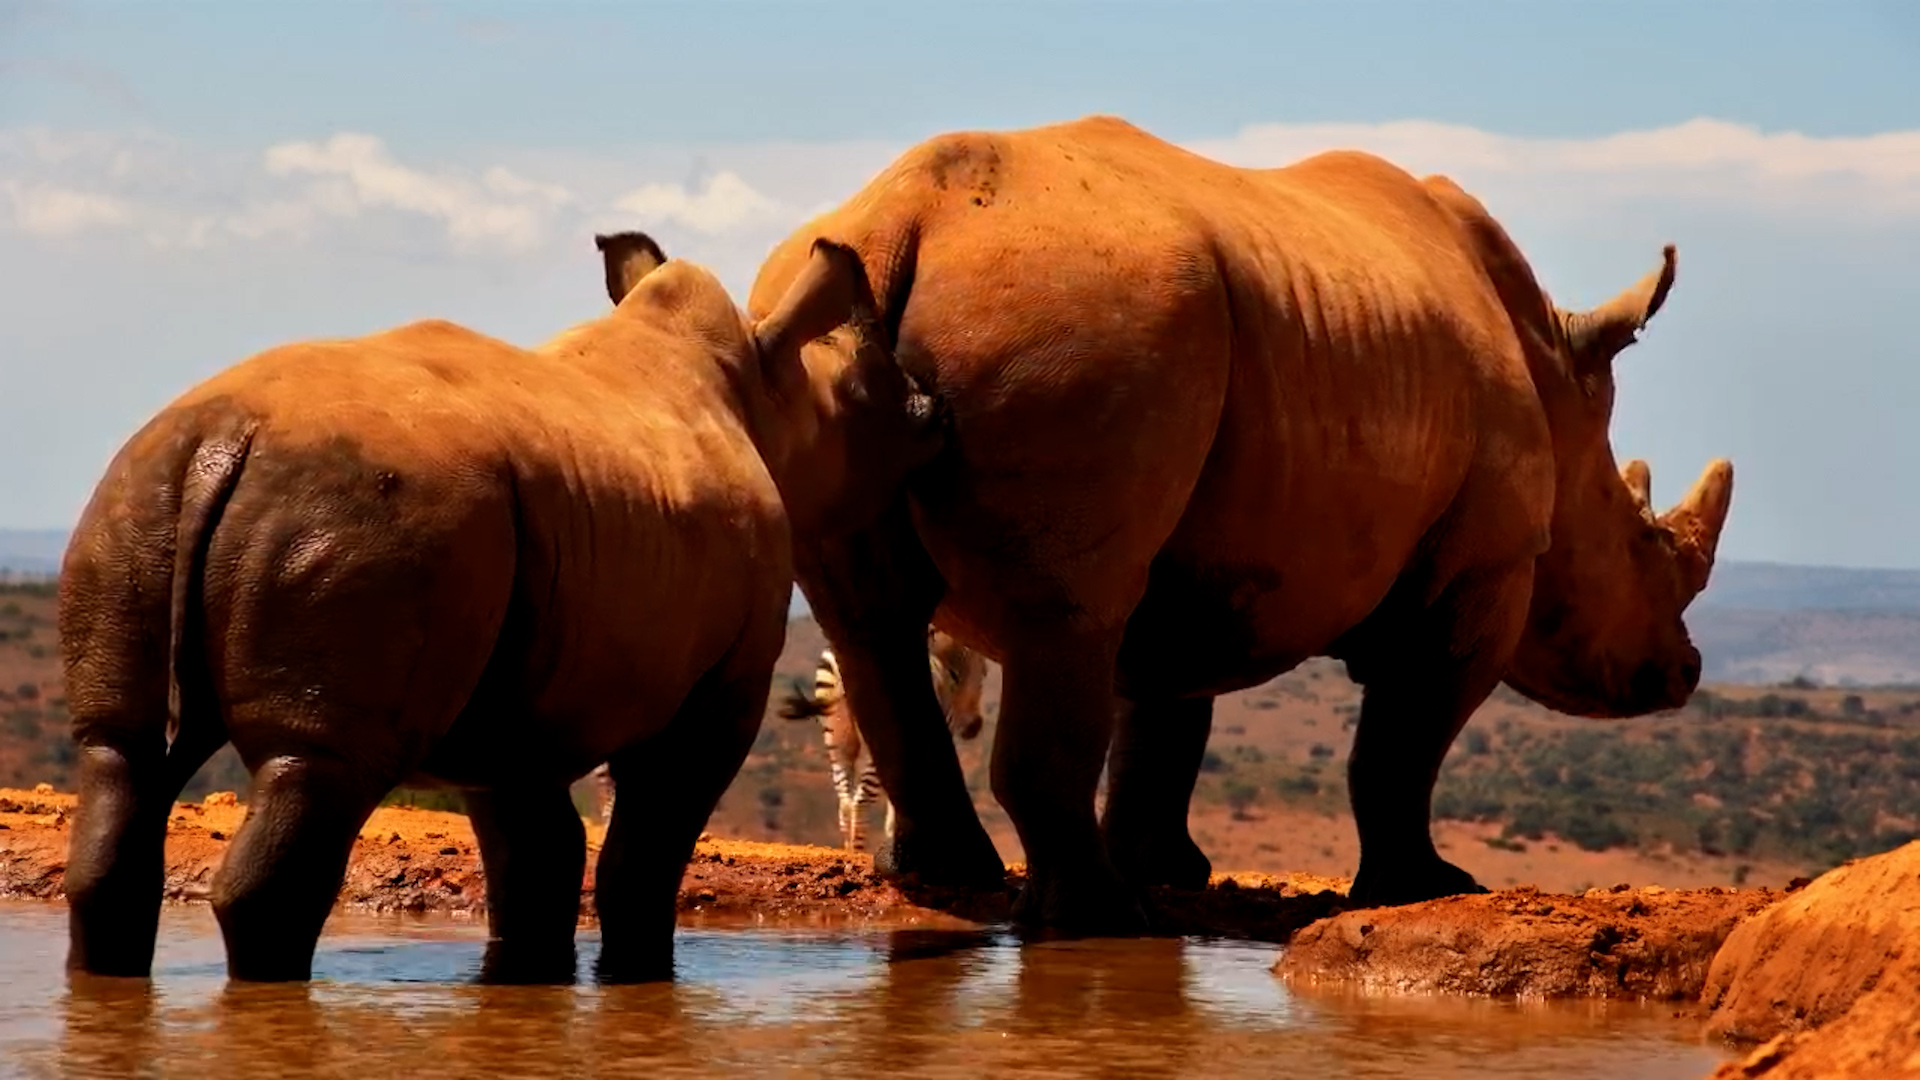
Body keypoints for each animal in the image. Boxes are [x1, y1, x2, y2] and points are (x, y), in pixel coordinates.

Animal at [59, 232, 938, 982]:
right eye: (882, 404)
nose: (930, 420)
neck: (767, 389)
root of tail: (224, 439)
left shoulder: (526, 694)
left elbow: (537, 851)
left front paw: (529, 975)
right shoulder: (726, 679)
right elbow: (646, 845)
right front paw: (638, 974)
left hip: (140, 497)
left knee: (120, 751)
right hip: (363, 515)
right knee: (316, 768)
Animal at [738, 116, 1734, 932]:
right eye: (1643, 541)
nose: (1684, 672)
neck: (1558, 386)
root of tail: (905, 213)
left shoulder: (1210, 548)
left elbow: (1164, 708)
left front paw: (1171, 869)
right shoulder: (1486, 566)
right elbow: (1405, 739)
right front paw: (1427, 887)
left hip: (899, 337)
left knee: (875, 623)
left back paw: (961, 879)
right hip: (1085, 318)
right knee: (1066, 614)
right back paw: (1102, 919)